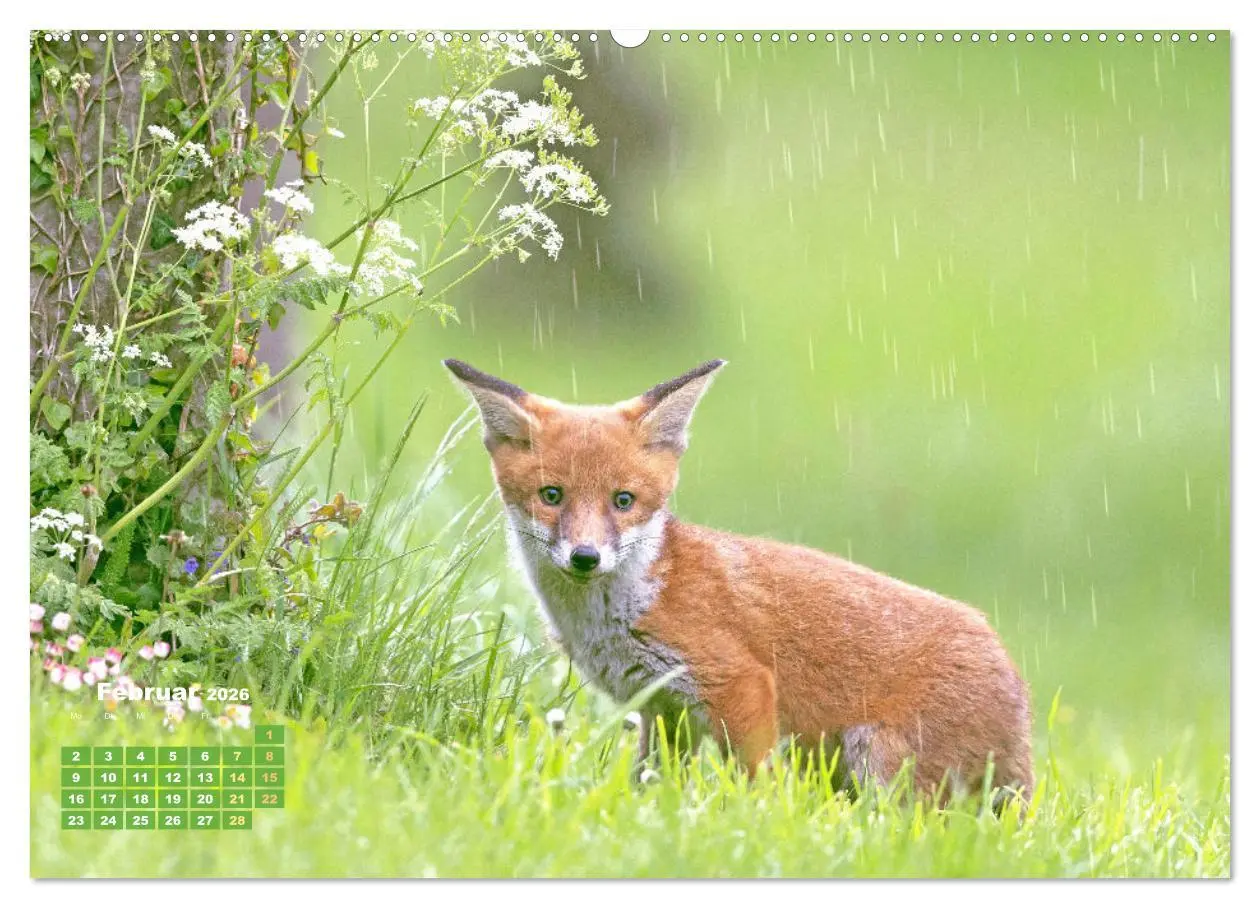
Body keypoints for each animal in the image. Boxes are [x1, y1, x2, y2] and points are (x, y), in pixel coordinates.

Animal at [444, 357, 1033, 802]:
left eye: (623, 501)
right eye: (552, 496)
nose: (585, 557)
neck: (626, 608)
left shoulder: (738, 683)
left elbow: (756, 784)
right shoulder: (664, 709)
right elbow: (650, 783)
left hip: (883, 765)